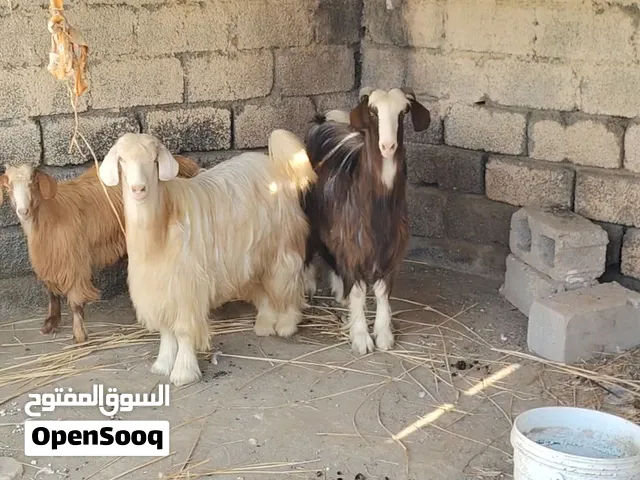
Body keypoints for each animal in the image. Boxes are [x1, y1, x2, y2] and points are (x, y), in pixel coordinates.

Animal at [0, 156, 202, 343]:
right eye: (8, 187)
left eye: (32, 183)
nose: (23, 211)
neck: (50, 213)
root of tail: (182, 162)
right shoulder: (49, 260)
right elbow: (52, 293)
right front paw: (51, 323)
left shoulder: (74, 262)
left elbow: (75, 302)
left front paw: (79, 335)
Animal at [98, 131, 315, 386]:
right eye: (121, 160)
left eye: (154, 160)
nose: (138, 189)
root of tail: (274, 164)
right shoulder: (160, 289)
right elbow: (166, 330)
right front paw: (162, 365)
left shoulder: (187, 286)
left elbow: (183, 331)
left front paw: (183, 372)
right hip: (249, 259)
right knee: (263, 289)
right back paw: (264, 324)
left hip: (281, 248)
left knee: (288, 283)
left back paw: (287, 324)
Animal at [302, 86, 431, 355]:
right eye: (373, 111)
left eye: (403, 112)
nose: (388, 146)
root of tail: (323, 122)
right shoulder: (353, 249)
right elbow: (360, 293)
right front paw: (361, 338)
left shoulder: (392, 253)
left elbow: (382, 293)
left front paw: (383, 335)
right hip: (308, 214)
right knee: (308, 251)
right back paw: (308, 289)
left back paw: (340, 292)